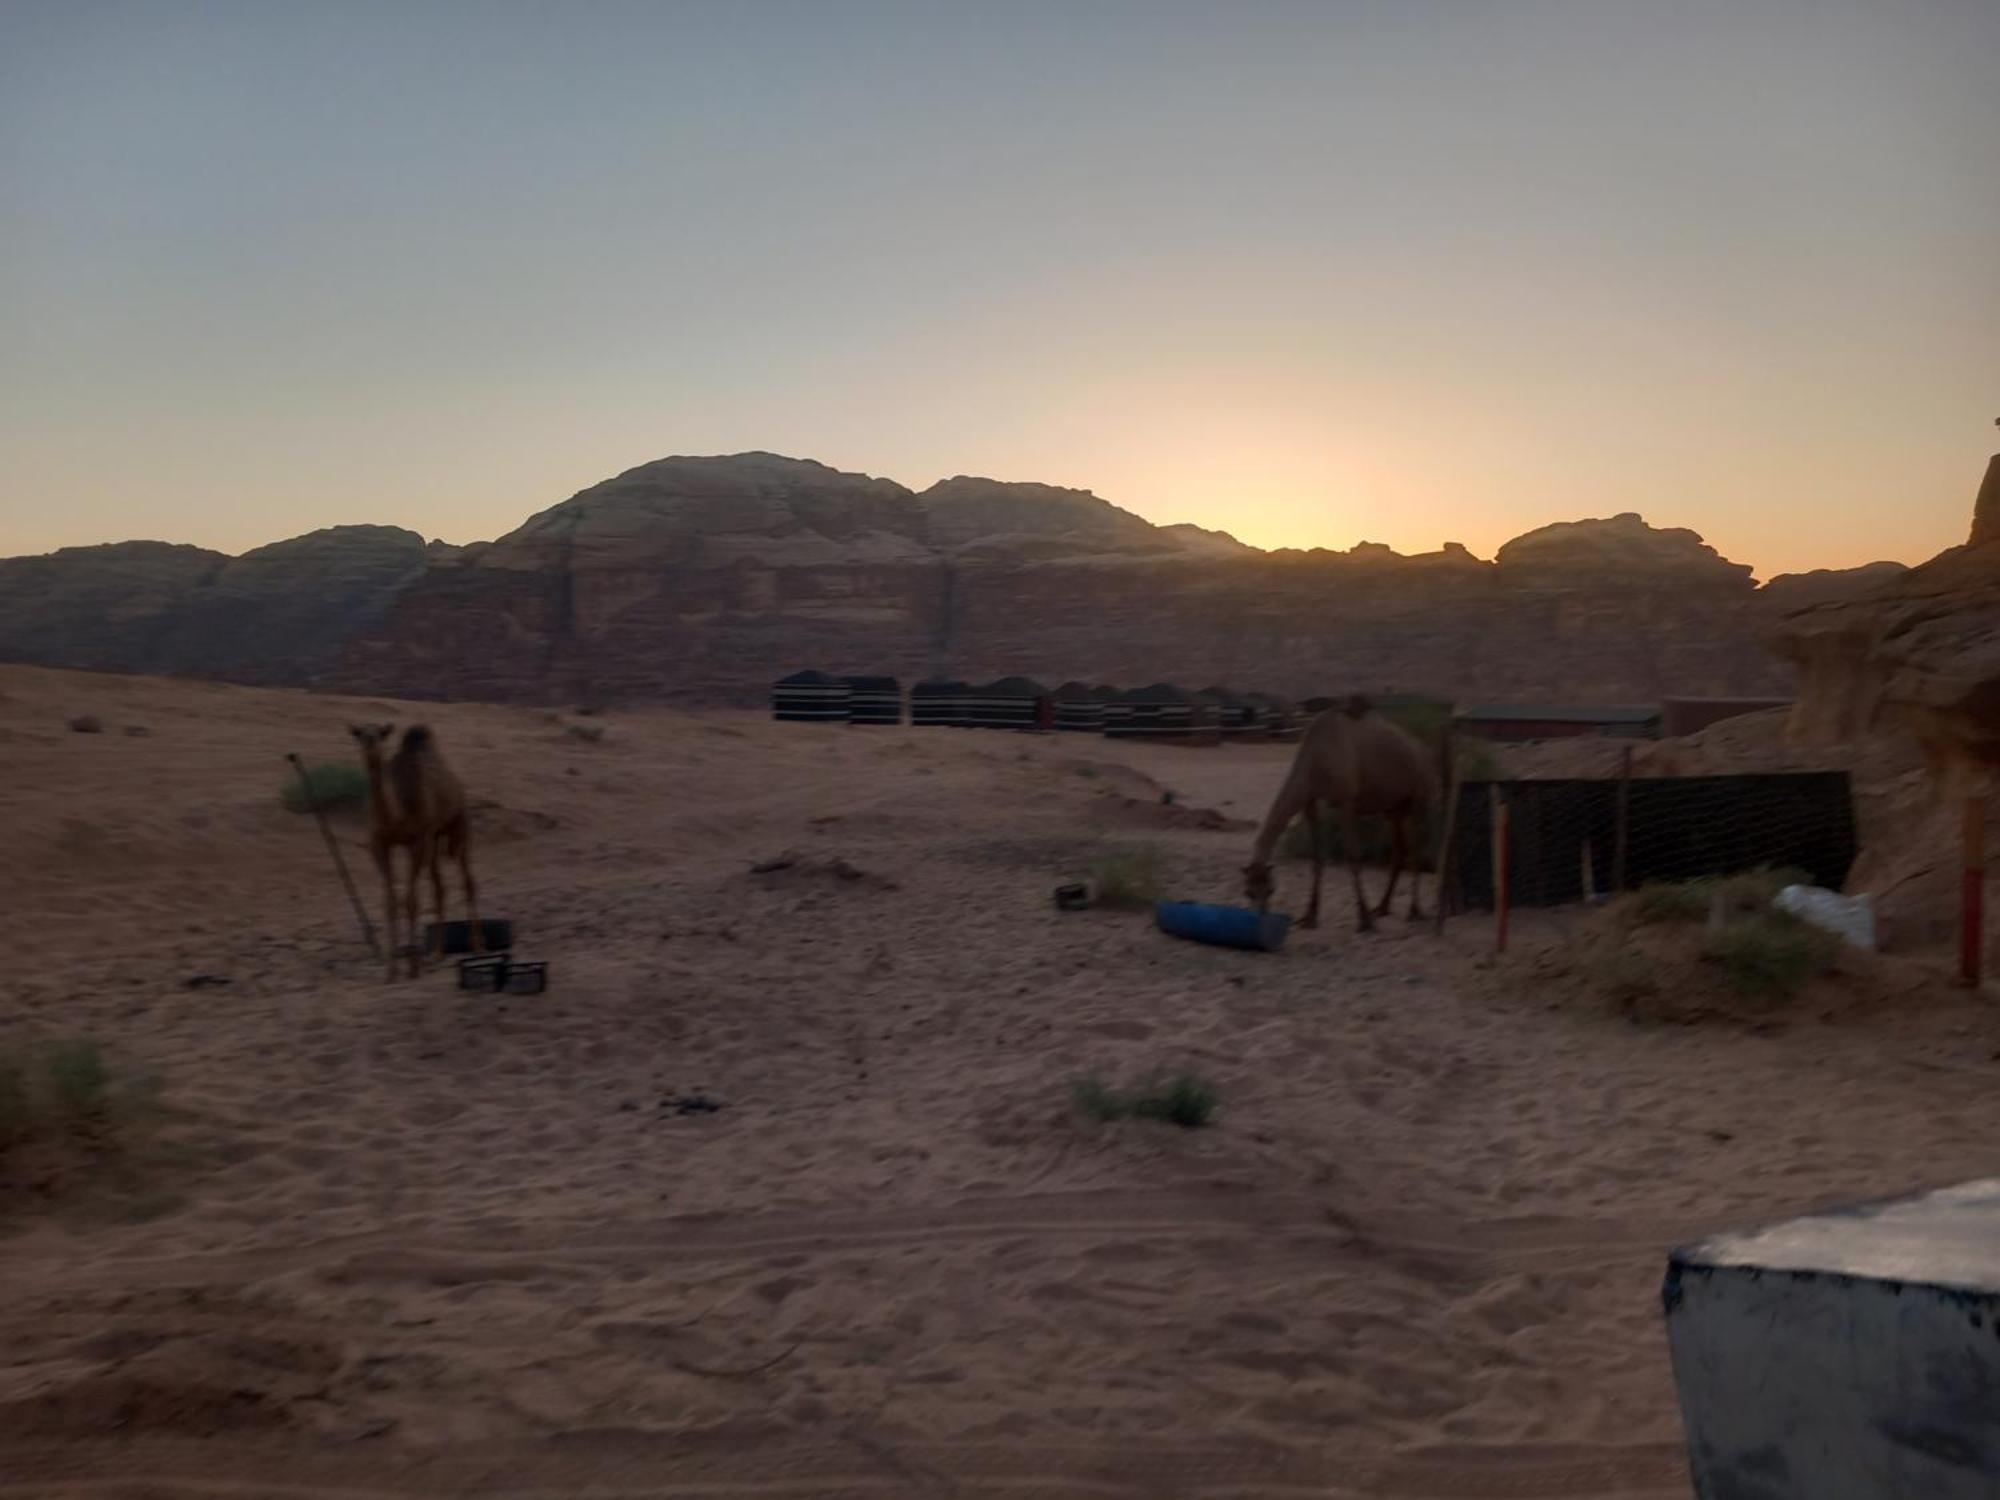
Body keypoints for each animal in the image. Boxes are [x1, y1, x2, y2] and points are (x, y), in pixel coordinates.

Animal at [348, 728, 480, 988]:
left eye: (380, 734)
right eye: (360, 734)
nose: (371, 750)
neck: (397, 815)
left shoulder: (417, 841)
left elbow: (411, 902)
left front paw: (412, 969)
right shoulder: (379, 844)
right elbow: (390, 903)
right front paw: (391, 972)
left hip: (459, 824)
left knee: (468, 880)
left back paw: (479, 947)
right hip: (435, 839)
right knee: (440, 888)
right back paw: (437, 954)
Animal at [1232, 700, 1440, 936]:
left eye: (1270, 890)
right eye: (1248, 892)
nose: (1258, 921)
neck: (1315, 760)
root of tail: (1425, 752)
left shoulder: (1346, 802)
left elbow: (1353, 856)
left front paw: (1364, 920)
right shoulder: (1309, 801)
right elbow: (1317, 858)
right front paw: (1309, 917)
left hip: (1418, 799)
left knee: (1415, 850)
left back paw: (1414, 911)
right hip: (1393, 808)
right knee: (1399, 851)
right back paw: (1382, 907)